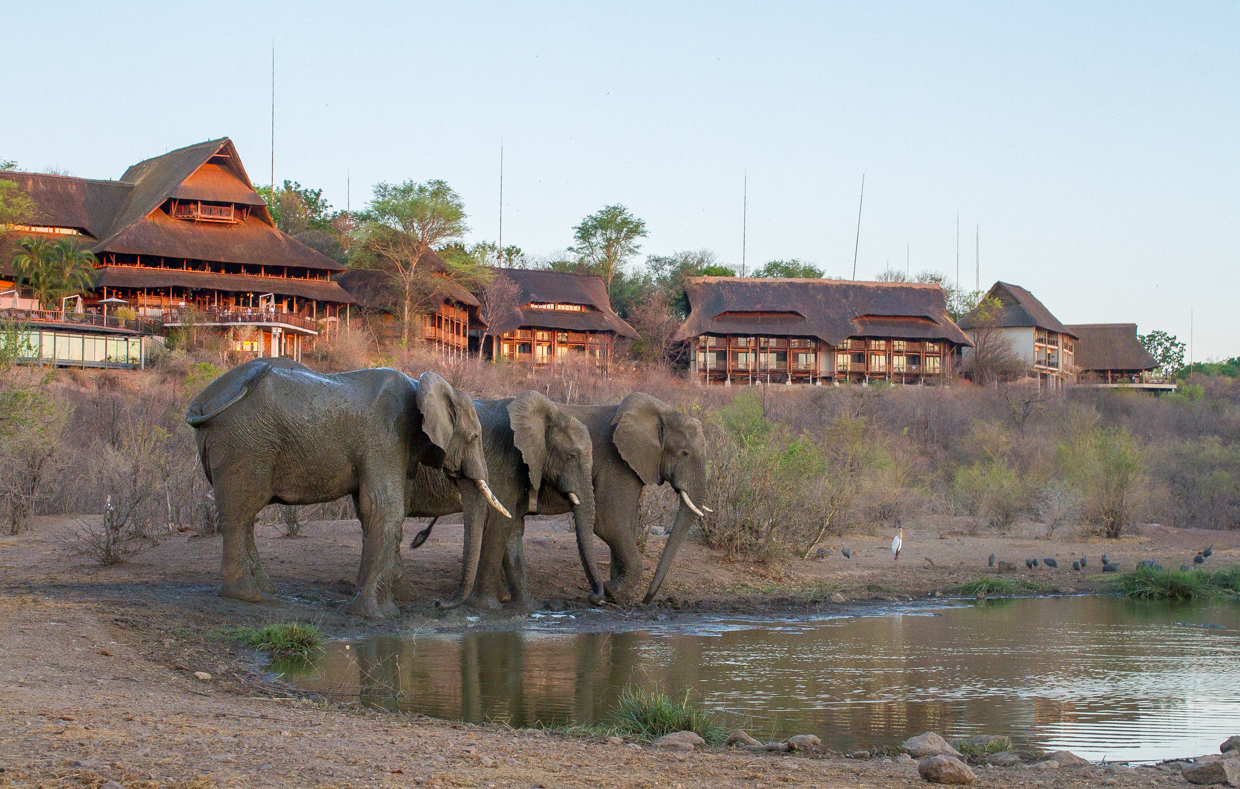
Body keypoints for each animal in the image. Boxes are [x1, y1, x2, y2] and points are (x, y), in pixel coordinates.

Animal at [185, 358, 508, 618]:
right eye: (474, 437)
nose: (439, 604)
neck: (423, 386)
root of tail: (201, 402)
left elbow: (369, 511)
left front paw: (384, 607)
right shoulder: (386, 436)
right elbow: (384, 507)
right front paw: (374, 615)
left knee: (245, 515)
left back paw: (264, 590)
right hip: (244, 443)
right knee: (240, 511)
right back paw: (246, 595)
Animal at [384, 390, 605, 609]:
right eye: (571, 456)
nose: (594, 598)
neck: (549, 413)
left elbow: (513, 526)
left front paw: (527, 607)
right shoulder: (505, 461)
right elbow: (501, 522)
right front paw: (486, 606)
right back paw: (406, 595)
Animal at [413, 391, 708, 607]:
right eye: (684, 454)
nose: (648, 601)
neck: (663, 411)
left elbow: (627, 524)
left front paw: (619, 595)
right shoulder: (617, 462)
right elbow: (609, 522)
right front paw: (614, 593)